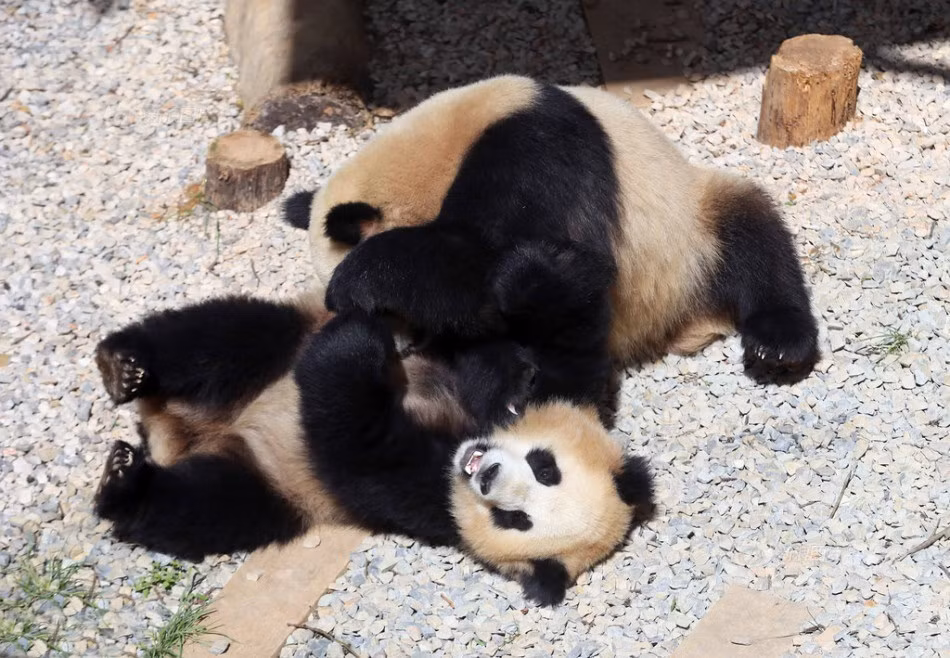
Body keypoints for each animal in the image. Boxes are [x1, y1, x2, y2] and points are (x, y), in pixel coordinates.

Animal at [92, 291, 654, 606]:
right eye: (545, 467)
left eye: (515, 520)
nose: (487, 474)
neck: (458, 439)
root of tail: (174, 433)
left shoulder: (429, 503)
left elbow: (360, 450)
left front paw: (355, 348)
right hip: (271, 356)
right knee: (224, 335)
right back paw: (124, 366)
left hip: (272, 485)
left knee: (208, 505)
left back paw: (126, 481)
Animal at [283, 75, 820, 386]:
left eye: (384, 311)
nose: (400, 347)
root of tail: (683, 329)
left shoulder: (532, 147)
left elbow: (493, 266)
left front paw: (362, 276)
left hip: (689, 228)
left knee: (754, 237)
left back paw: (778, 345)